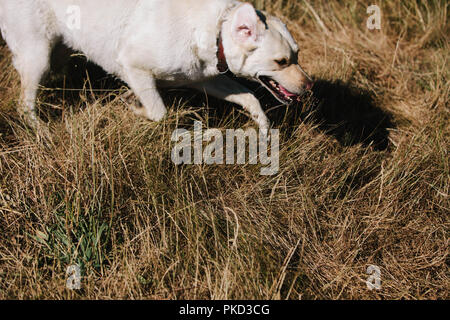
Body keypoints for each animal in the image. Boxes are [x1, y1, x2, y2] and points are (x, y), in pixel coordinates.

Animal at [0, 0, 312, 130]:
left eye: (297, 55)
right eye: (281, 61)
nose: (309, 86)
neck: (215, 30)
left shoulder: (205, 79)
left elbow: (249, 98)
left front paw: (264, 127)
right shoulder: (134, 65)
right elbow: (160, 113)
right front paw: (134, 108)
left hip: (58, 52)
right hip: (38, 56)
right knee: (24, 105)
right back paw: (41, 131)